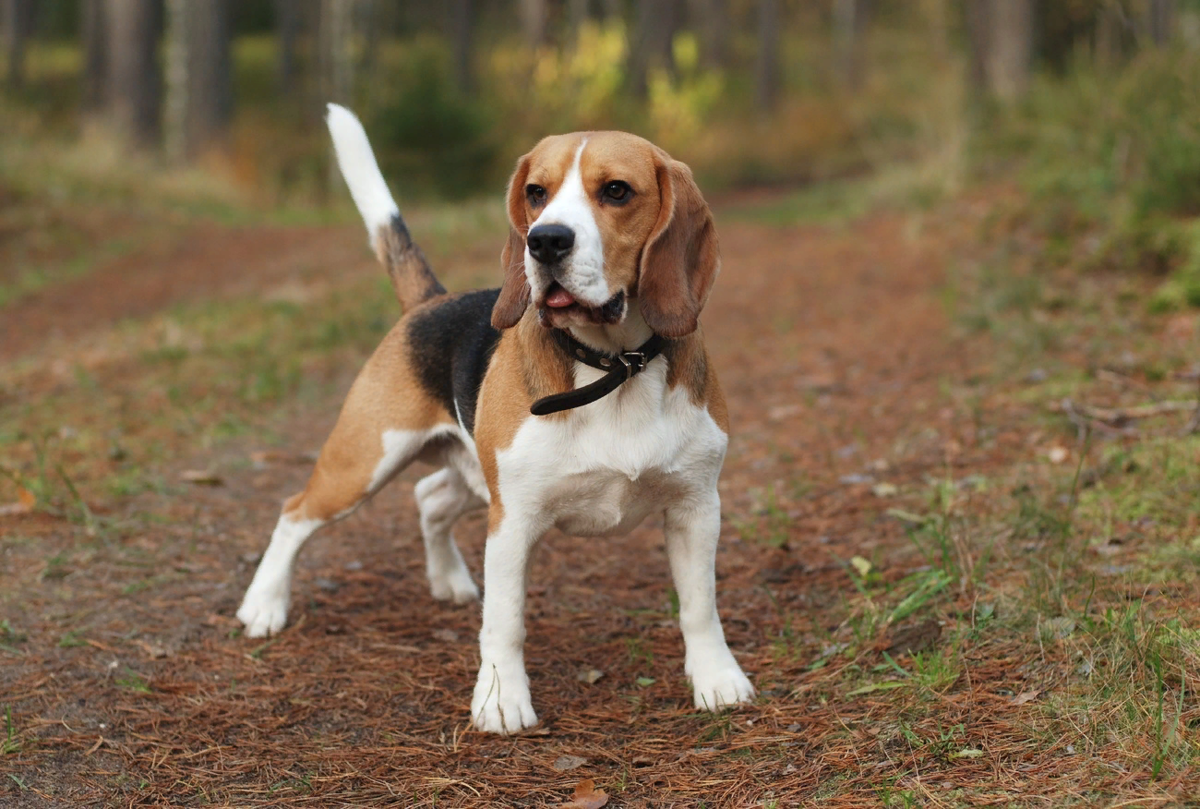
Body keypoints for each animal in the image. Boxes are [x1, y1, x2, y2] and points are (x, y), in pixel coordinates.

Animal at [238, 102, 753, 729]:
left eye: (616, 191)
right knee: (294, 513)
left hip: (470, 473)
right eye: (536, 193)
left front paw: (717, 680)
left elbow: (700, 606)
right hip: (364, 463)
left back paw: (449, 581)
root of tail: (430, 301)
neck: (615, 367)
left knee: (429, 497)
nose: (545, 241)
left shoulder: (696, 506)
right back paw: (263, 605)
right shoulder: (513, 520)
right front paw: (502, 700)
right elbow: (506, 622)